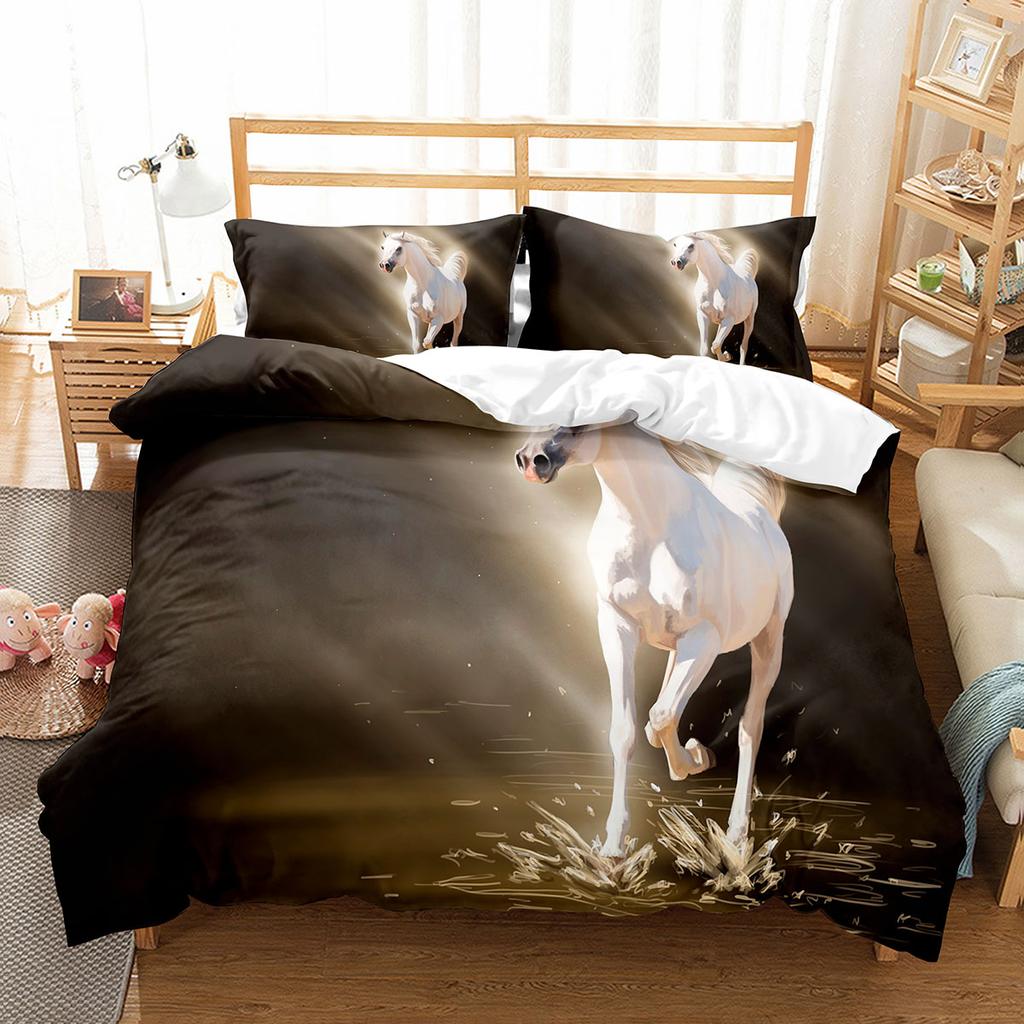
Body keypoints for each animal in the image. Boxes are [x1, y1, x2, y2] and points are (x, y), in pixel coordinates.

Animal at [515, 423, 793, 858]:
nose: (531, 460)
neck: (651, 529)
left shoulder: (704, 639)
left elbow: (661, 716)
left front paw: (695, 760)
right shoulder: (617, 627)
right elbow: (629, 729)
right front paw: (613, 846)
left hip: (768, 641)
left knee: (750, 727)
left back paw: (735, 835)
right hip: (677, 649)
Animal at [669, 232, 759, 366]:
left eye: (691, 246)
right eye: (675, 244)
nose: (676, 262)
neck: (714, 283)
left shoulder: (729, 320)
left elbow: (715, 345)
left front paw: (727, 356)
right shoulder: (703, 316)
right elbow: (706, 348)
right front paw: (725, 357)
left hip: (749, 319)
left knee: (743, 346)